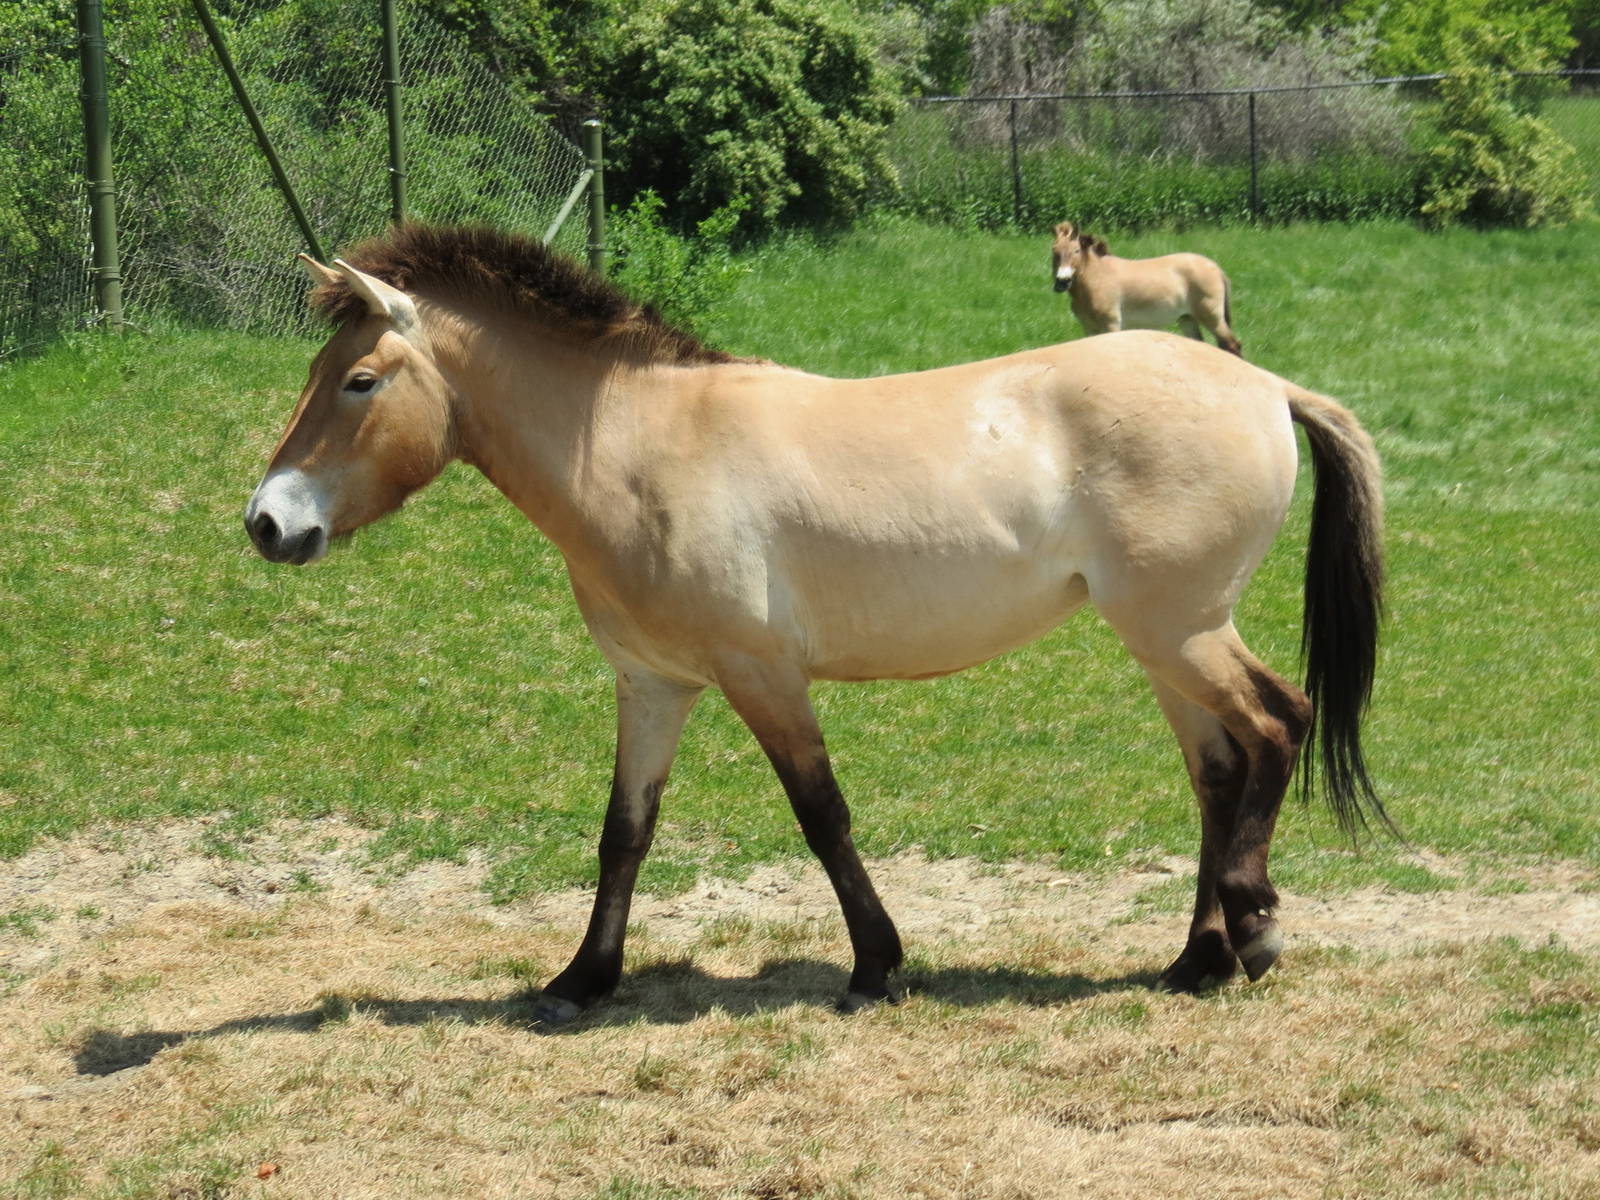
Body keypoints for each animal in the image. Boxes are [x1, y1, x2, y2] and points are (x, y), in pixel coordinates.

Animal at [1051, 221, 1242, 356]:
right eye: (1054, 252)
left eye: (1076, 251)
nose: (1062, 281)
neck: (1097, 278)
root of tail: (1216, 268)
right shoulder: (1089, 328)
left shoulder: (1111, 325)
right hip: (1187, 319)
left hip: (1212, 317)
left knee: (1232, 345)